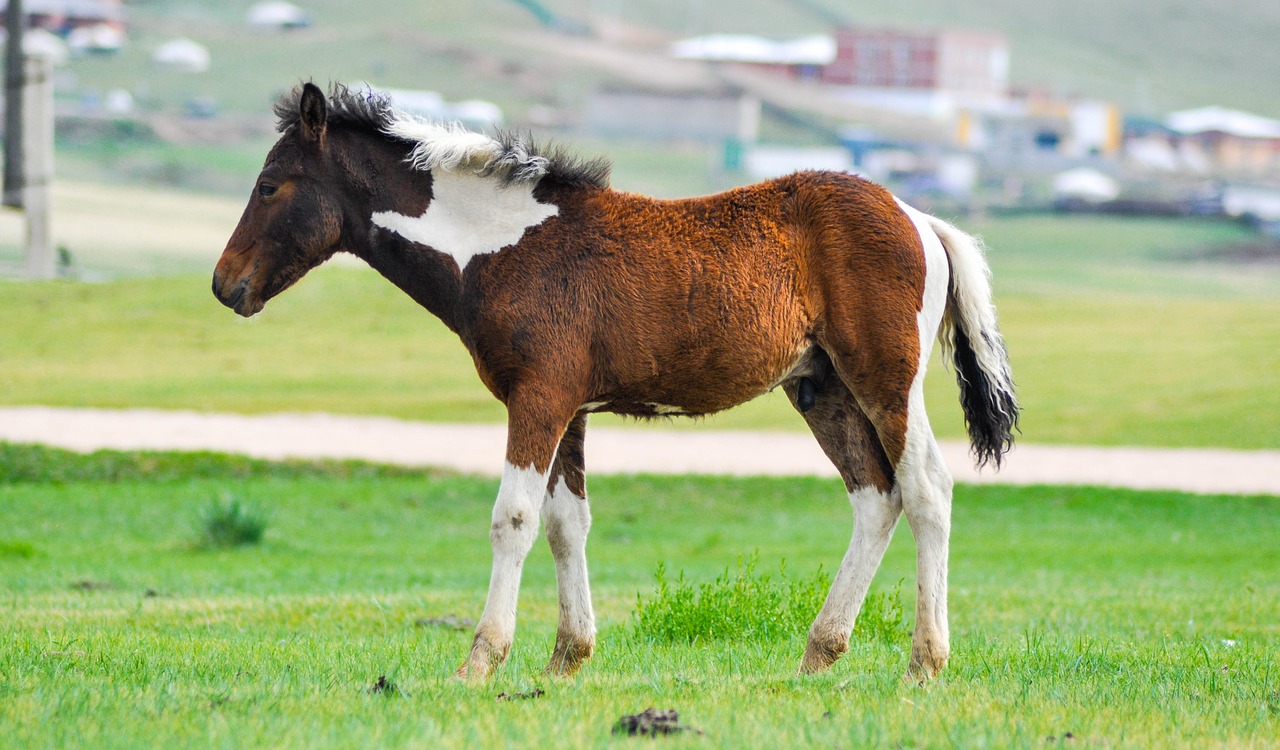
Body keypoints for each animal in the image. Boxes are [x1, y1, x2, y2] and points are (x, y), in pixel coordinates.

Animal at [217, 84, 1018, 680]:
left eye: (268, 184)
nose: (226, 286)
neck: (499, 249)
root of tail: (921, 218)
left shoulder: (537, 400)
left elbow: (513, 519)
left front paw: (481, 661)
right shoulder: (568, 408)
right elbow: (566, 524)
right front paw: (566, 660)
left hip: (885, 379)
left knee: (925, 489)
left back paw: (923, 663)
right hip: (821, 389)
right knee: (876, 496)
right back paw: (818, 654)